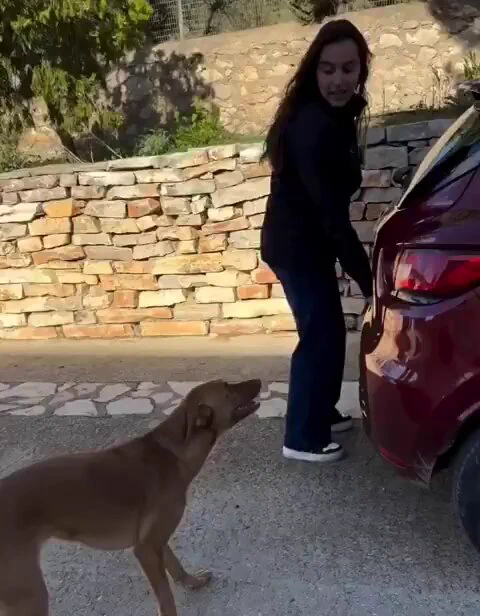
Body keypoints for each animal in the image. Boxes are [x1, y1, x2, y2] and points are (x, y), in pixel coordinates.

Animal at [0, 378, 262, 616]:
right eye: (227, 388)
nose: (259, 380)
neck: (175, 451)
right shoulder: (146, 550)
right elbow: (166, 599)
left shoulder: (156, 541)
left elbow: (175, 566)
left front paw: (192, 582)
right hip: (30, 594)